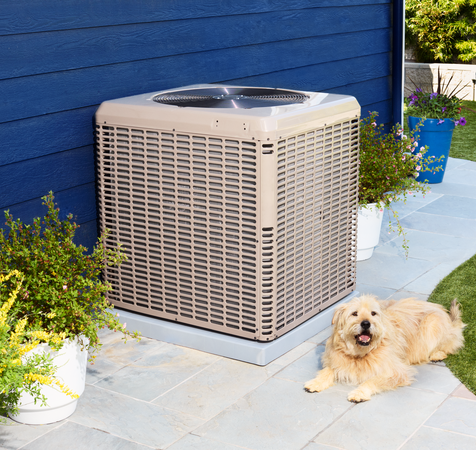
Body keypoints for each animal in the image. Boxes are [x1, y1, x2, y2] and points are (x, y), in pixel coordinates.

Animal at [304, 294, 464, 402]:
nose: (366, 323)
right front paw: (316, 382)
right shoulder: (337, 361)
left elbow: (373, 380)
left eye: (373, 313)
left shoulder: (397, 372)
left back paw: (437, 354)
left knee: (450, 343)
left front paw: (359, 393)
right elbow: (327, 370)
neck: (360, 354)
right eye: (354, 313)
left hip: (430, 325)